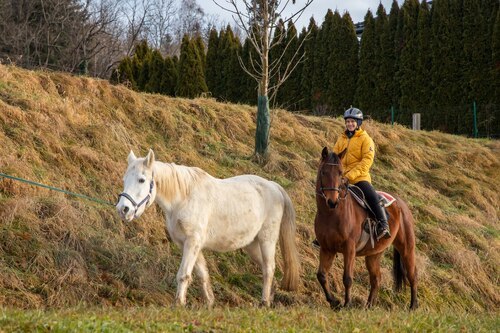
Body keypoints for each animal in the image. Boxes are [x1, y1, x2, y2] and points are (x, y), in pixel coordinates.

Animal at [115, 149, 298, 304]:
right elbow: (202, 274)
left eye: (141, 180)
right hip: (251, 245)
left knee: (269, 268)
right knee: (266, 267)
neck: (184, 198)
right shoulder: (186, 244)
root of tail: (274, 186)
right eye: (124, 179)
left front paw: (179, 303)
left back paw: (265, 302)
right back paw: (271, 295)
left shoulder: (192, 242)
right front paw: (209, 302)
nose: (123, 209)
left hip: (267, 240)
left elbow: (184, 274)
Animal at [316, 147, 418, 310]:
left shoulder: (349, 248)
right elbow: (321, 275)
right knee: (376, 278)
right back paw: (369, 305)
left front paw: (347, 304)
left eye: (340, 173)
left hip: (407, 248)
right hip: (374, 254)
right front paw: (334, 302)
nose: (332, 201)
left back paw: (413, 305)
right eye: (324, 172)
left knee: (412, 275)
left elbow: (347, 278)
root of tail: (402, 204)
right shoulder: (327, 248)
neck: (331, 214)